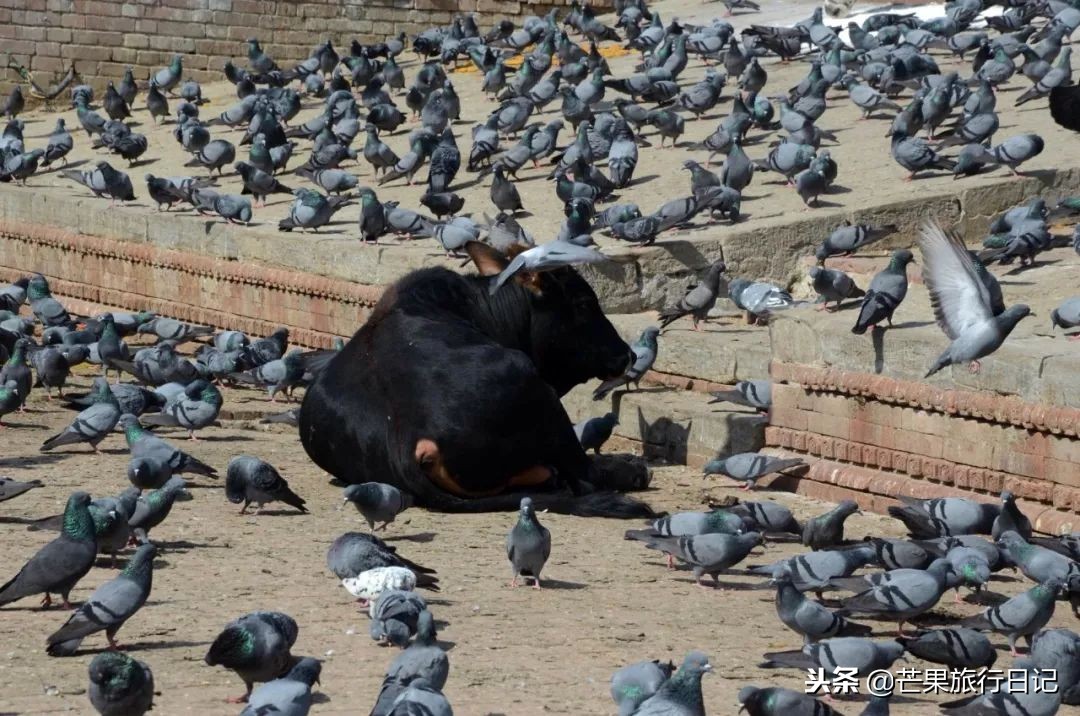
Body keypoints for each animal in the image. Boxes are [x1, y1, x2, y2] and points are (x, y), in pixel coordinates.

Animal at [302, 244, 656, 518]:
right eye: (584, 304)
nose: (627, 354)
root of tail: (405, 437)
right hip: (534, 386)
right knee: (585, 474)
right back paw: (627, 470)